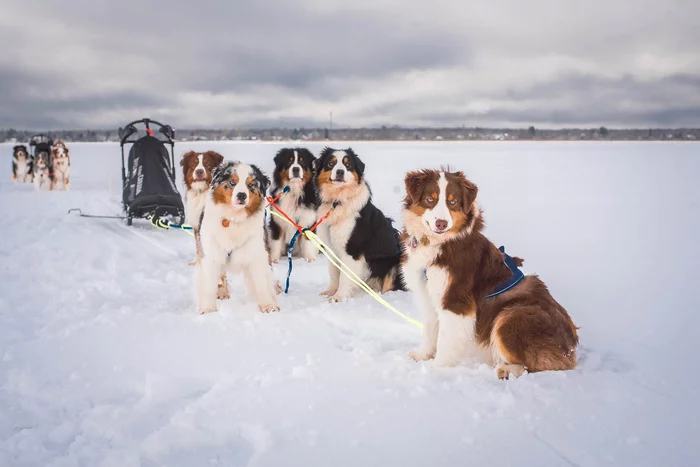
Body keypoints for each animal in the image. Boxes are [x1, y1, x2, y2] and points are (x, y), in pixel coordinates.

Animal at [196, 160, 280, 314]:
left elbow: (262, 282)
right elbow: (209, 284)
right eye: (232, 182)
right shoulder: (211, 253)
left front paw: (269, 306)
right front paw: (208, 310)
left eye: (251, 184)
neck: (234, 219)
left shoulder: (257, 252)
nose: (242, 195)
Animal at [314, 148, 404, 306]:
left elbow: (344, 276)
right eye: (331, 163)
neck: (337, 201)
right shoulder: (331, 248)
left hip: (395, 263)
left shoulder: (351, 250)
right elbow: (333, 273)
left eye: (348, 165)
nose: (340, 172)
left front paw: (339, 297)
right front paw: (330, 292)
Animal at [402, 170, 576, 378]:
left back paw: (507, 370)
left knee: (540, 364)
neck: (438, 243)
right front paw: (423, 355)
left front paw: (437, 368)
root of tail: (571, 348)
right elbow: (430, 328)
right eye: (430, 199)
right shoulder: (427, 293)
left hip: (511, 315)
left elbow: (445, 338)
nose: (441, 223)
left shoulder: (456, 300)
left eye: (452, 202)